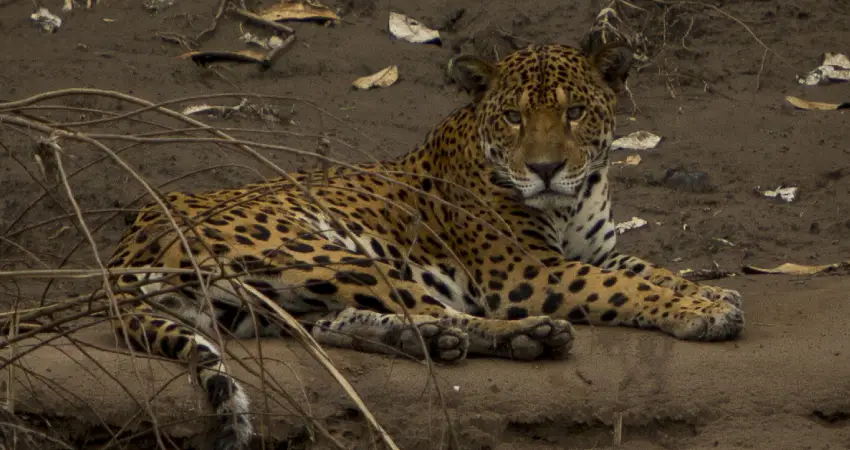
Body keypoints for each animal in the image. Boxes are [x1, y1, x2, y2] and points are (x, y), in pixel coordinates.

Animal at [105, 42, 743, 450]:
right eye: (513, 117)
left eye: (576, 112)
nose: (544, 169)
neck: (571, 200)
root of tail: (127, 239)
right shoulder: (529, 272)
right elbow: (624, 286)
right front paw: (700, 311)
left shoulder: (595, 252)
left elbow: (648, 269)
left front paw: (712, 295)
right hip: (326, 253)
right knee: (431, 310)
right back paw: (527, 336)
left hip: (256, 305)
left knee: (336, 324)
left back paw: (431, 339)